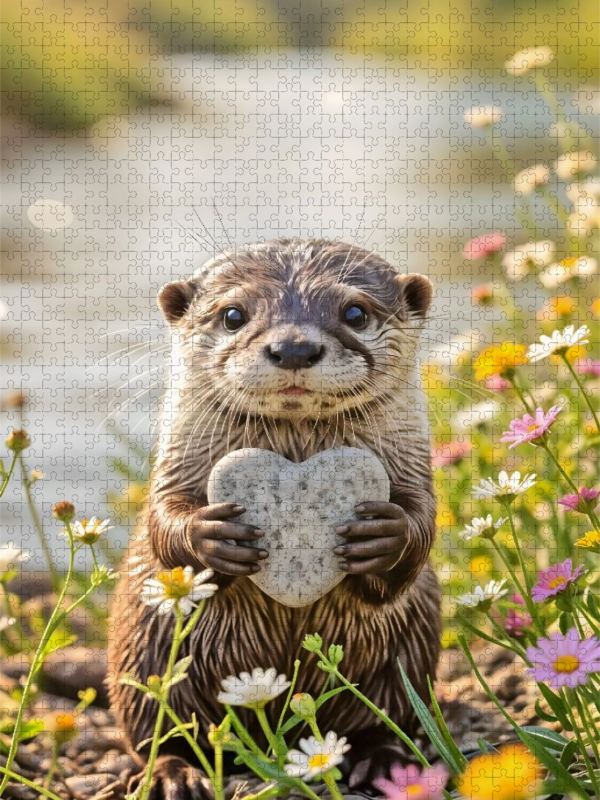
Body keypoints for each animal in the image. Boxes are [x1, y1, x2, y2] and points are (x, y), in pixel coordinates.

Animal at [107, 238, 441, 799]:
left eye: (355, 312)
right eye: (233, 315)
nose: (294, 348)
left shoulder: (415, 467)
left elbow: (424, 524)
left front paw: (385, 537)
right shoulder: (174, 466)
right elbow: (162, 521)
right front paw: (211, 536)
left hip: (409, 653)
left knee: (385, 716)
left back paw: (383, 761)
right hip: (144, 654)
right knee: (160, 731)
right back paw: (176, 775)